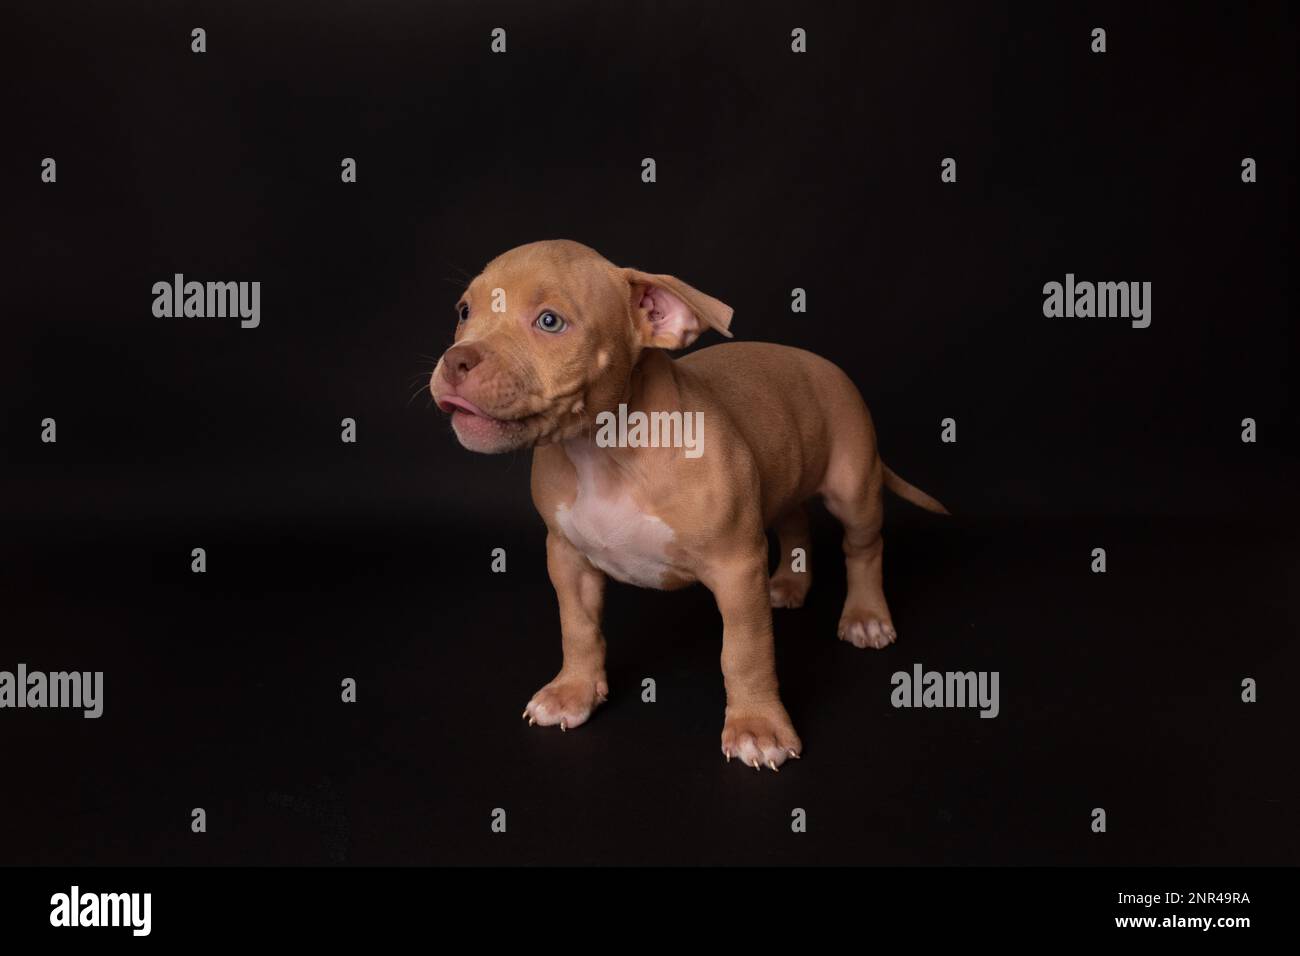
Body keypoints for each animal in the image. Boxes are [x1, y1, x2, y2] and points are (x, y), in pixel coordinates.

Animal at [426, 239, 946, 770]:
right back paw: (788, 583)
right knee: (795, 520)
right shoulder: (567, 557)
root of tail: (821, 363)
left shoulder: (737, 567)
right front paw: (573, 692)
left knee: (863, 547)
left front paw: (758, 726)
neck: (604, 451)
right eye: (464, 312)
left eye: (550, 322)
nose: (455, 361)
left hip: (853, 485)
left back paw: (865, 616)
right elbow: (578, 627)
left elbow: (745, 652)